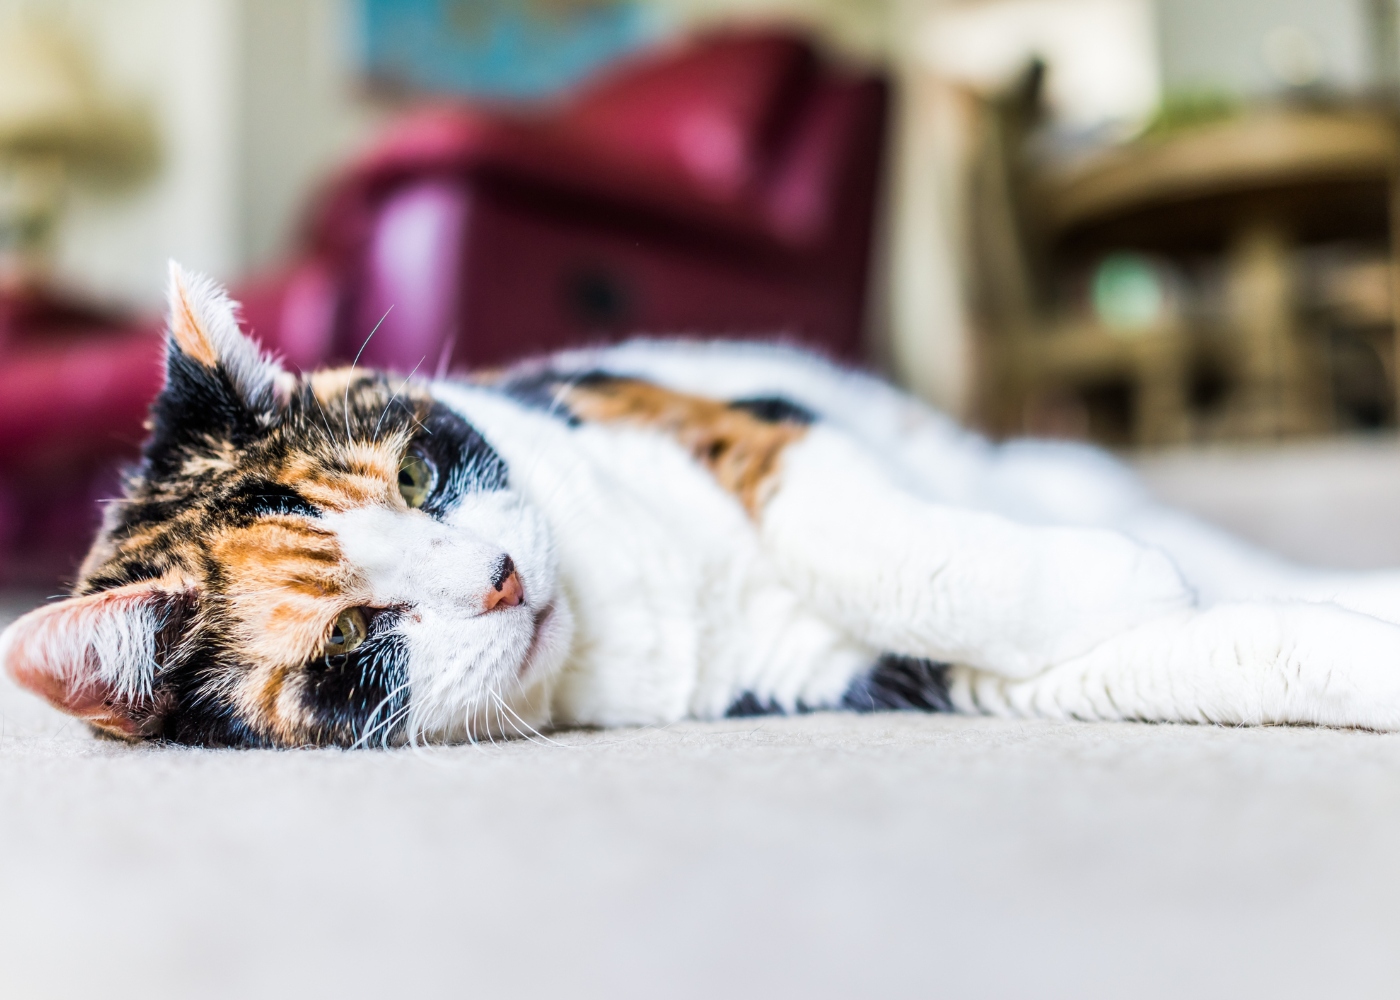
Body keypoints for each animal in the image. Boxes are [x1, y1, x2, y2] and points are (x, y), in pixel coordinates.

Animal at [8, 260, 1400, 745]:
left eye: (416, 473)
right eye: (350, 639)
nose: (502, 581)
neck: (627, 612)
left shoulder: (739, 427)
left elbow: (853, 537)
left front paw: (1112, 574)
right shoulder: (864, 673)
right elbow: (1206, 647)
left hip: (1045, 469)